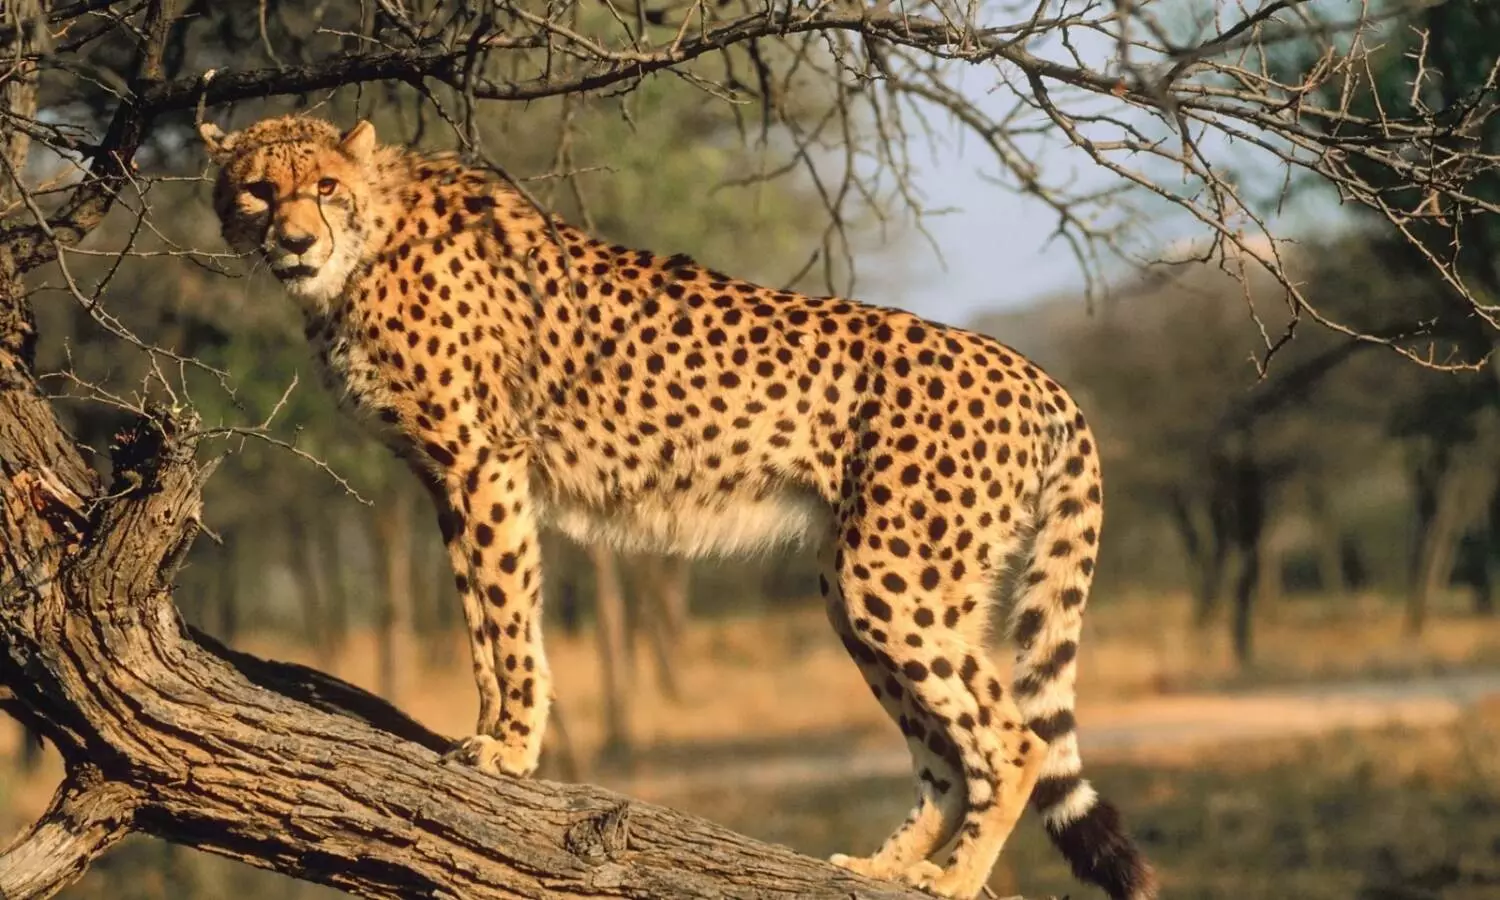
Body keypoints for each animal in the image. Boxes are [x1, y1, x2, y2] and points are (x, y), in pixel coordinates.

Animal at [198, 113, 1157, 900]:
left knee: (1015, 740)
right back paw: (883, 867)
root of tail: (1035, 373)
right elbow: (480, 618)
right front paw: (488, 733)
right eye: (259, 188)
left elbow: (507, 615)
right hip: (861, 585)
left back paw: (949, 880)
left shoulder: (485, 462)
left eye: (326, 187)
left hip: (894, 579)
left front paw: (509, 746)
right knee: (948, 757)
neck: (365, 248)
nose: (293, 239)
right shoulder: (445, 479)